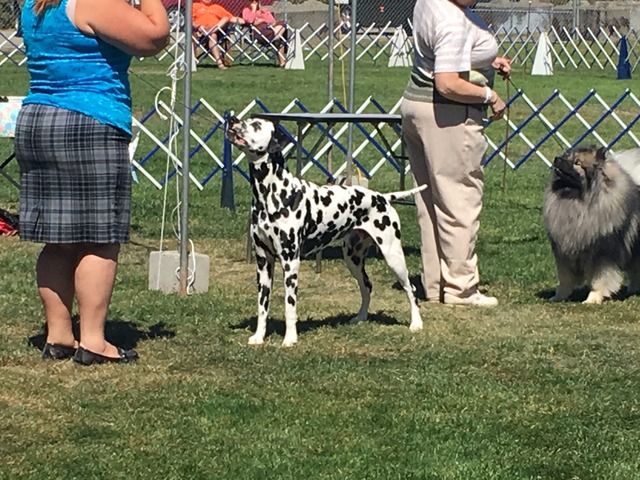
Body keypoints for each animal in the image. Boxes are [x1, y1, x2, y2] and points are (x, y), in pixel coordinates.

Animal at [225, 116, 424, 346]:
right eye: (246, 119)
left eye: (256, 125)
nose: (231, 119)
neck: (272, 194)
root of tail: (383, 197)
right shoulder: (263, 261)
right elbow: (262, 305)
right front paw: (259, 337)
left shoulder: (290, 262)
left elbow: (290, 306)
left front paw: (290, 339)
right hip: (353, 258)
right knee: (367, 286)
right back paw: (361, 317)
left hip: (393, 256)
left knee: (411, 288)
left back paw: (416, 323)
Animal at [544, 145, 640, 304]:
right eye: (567, 156)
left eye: (577, 163)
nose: (557, 158)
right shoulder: (564, 253)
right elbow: (565, 279)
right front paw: (558, 296)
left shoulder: (601, 254)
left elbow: (598, 279)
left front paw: (592, 299)